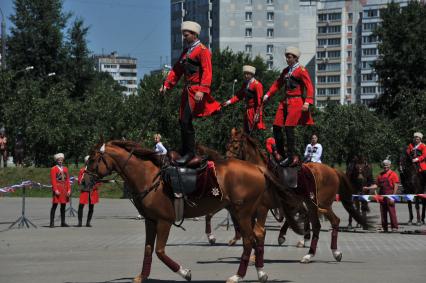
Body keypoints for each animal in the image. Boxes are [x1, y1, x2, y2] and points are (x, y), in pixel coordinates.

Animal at [85, 141, 302, 282]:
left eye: (94, 159)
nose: (84, 181)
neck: (149, 177)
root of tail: (257, 168)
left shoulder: (164, 221)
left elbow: (160, 251)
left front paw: (184, 272)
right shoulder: (150, 221)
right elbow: (147, 249)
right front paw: (142, 276)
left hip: (243, 212)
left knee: (250, 240)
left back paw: (239, 275)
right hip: (244, 212)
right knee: (257, 236)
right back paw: (260, 272)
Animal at [225, 130, 372, 266]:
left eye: (236, 147)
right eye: (228, 145)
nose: (227, 163)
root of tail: (333, 171)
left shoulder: (264, 207)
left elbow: (259, 230)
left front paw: (255, 256)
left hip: (322, 204)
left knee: (334, 221)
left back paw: (335, 252)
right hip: (311, 204)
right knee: (316, 225)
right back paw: (309, 255)